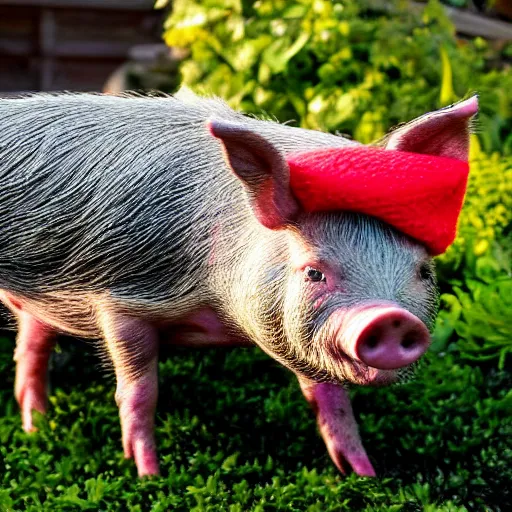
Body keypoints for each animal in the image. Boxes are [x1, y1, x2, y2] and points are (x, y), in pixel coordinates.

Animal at [0, 91, 476, 476]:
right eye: (314, 271)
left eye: (424, 271)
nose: (392, 319)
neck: (216, 310)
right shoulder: (122, 299)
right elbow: (139, 391)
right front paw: (149, 475)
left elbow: (329, 399)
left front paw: (363, 474)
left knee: (31, 346)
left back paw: (37, 428)